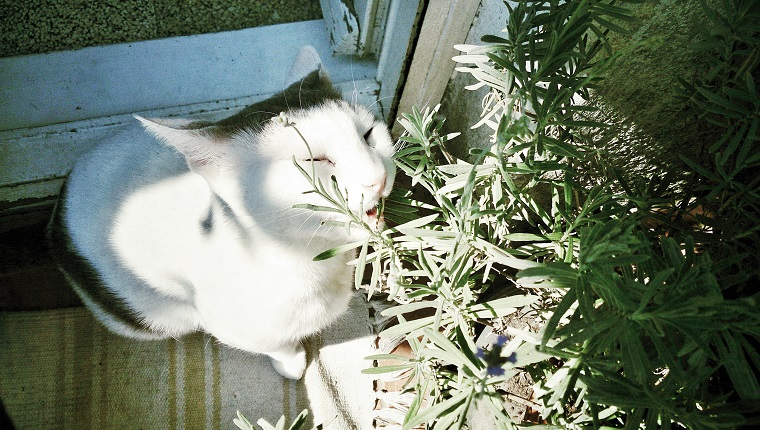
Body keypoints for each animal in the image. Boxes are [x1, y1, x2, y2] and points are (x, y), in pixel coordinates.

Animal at [46, 45, 398, 378]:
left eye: (368, 134)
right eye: (314, 160)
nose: (377, 177)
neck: (308, 259)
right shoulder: (230, 325)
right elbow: (277, 346)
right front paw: (292, 363)